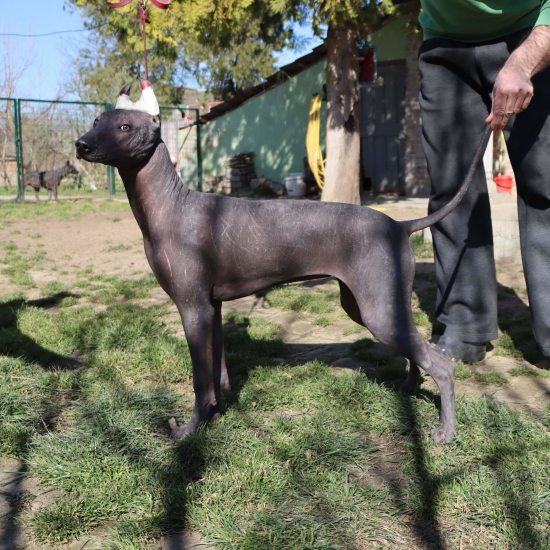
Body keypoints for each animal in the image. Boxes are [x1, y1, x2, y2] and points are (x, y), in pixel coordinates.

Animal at [75, 85, 494, 444]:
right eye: (95, 121)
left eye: (125, 127)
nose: (81, 144)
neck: (171, 206)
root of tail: (400, 224)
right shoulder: (212, 307)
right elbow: (217, 371)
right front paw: (215, 413)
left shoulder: (193, 308)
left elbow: (199, 378)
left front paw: (191, 429)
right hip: (371, 306)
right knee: (417, 351)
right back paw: (410, 387)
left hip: (379, 311)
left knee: (443, 366)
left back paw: (445, 431)